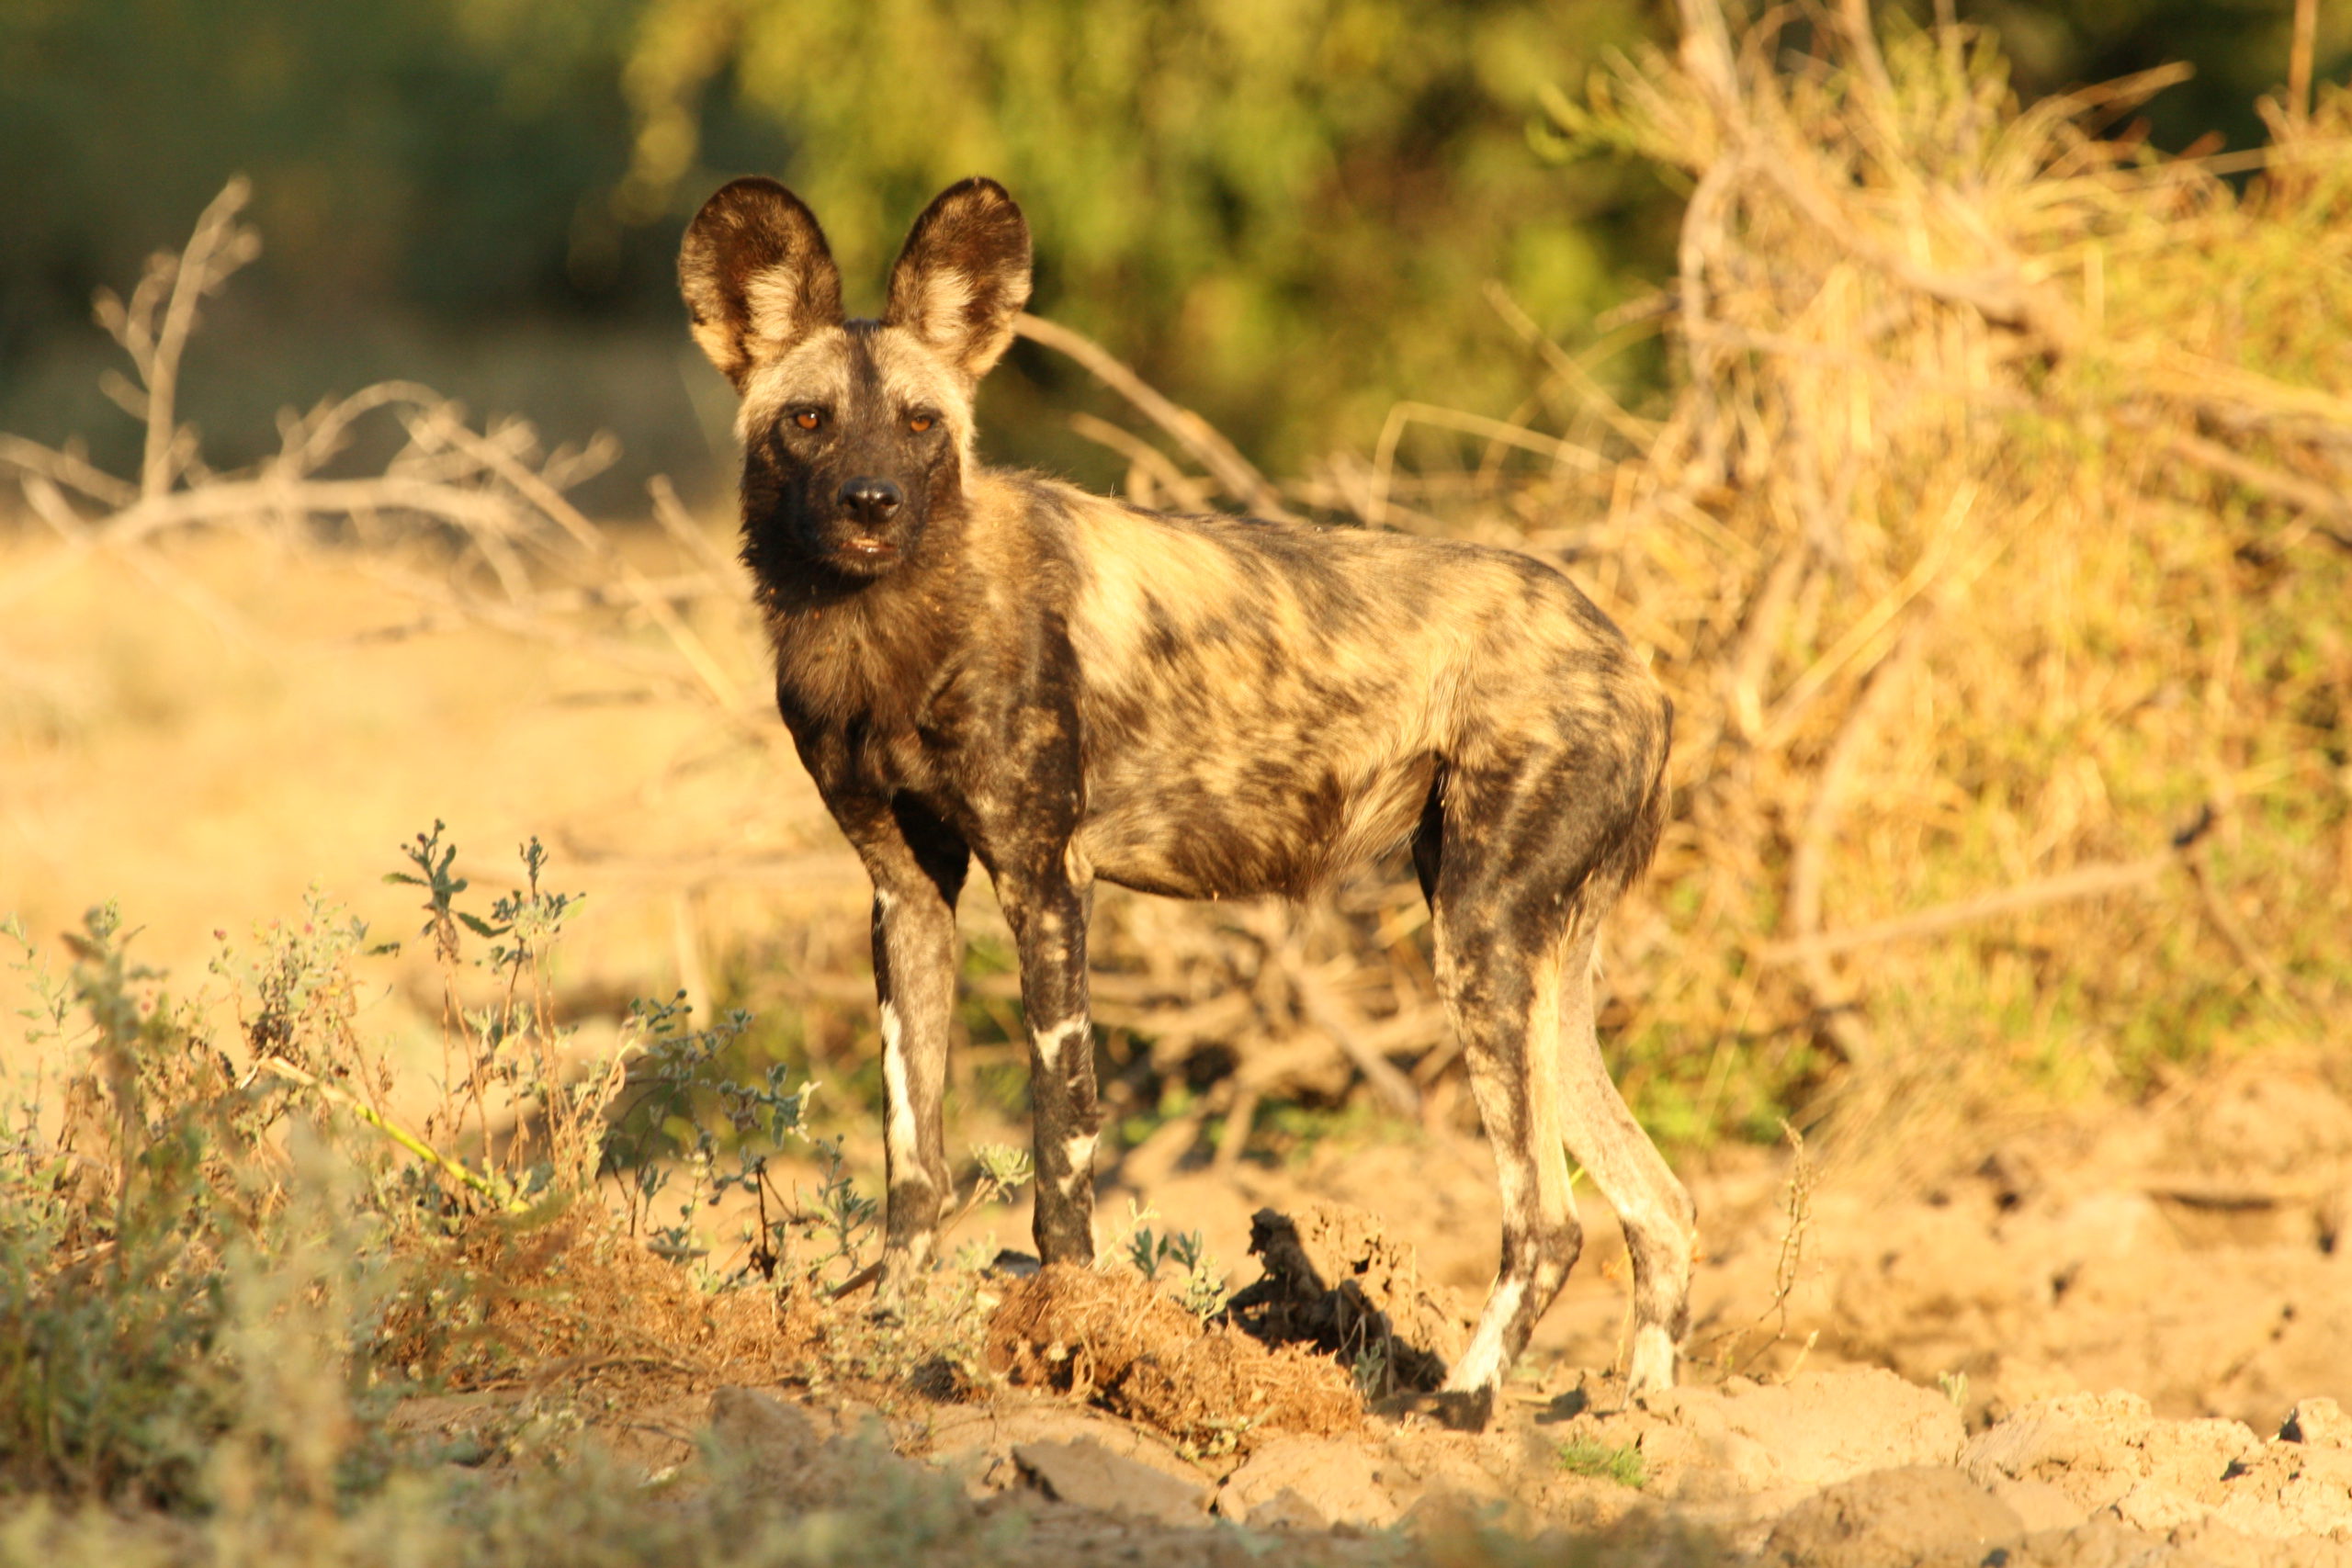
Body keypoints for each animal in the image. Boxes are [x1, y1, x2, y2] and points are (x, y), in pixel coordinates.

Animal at [677, 177, 1693, 1401]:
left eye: (921, 425)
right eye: (810, 420)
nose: (871, 503)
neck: (887, 633)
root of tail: (1631, 659)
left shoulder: (1046, 885)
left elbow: (1061, 1153)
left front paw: (1071, 1327)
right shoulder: (906, 896)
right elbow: (913, 1159)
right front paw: (888, 1329)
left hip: (1479, 937)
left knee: (1549, 1219)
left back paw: (1456, 1406)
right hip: (1535, 956)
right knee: (1658, 1203)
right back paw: (1643, 1416)